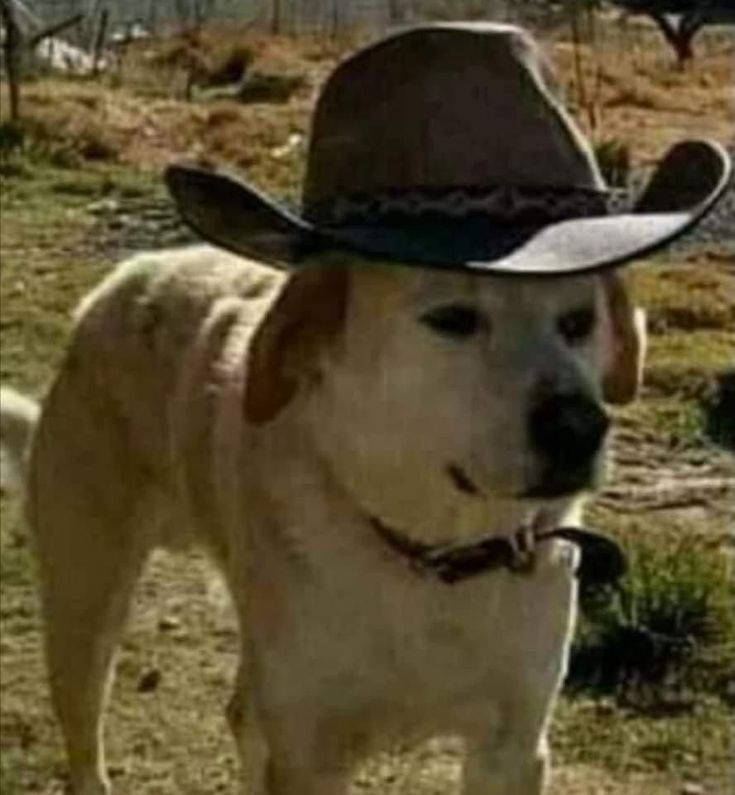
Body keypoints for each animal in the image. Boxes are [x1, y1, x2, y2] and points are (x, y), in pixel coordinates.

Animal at [7, 238, 648, 795]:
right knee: (86, 739)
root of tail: (125, 280)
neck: (430, 556)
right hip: (85, 605)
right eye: (453, 319)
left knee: (242, 716)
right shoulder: (311, 756)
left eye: (578, 322)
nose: (580, 428)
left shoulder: (512, 750)